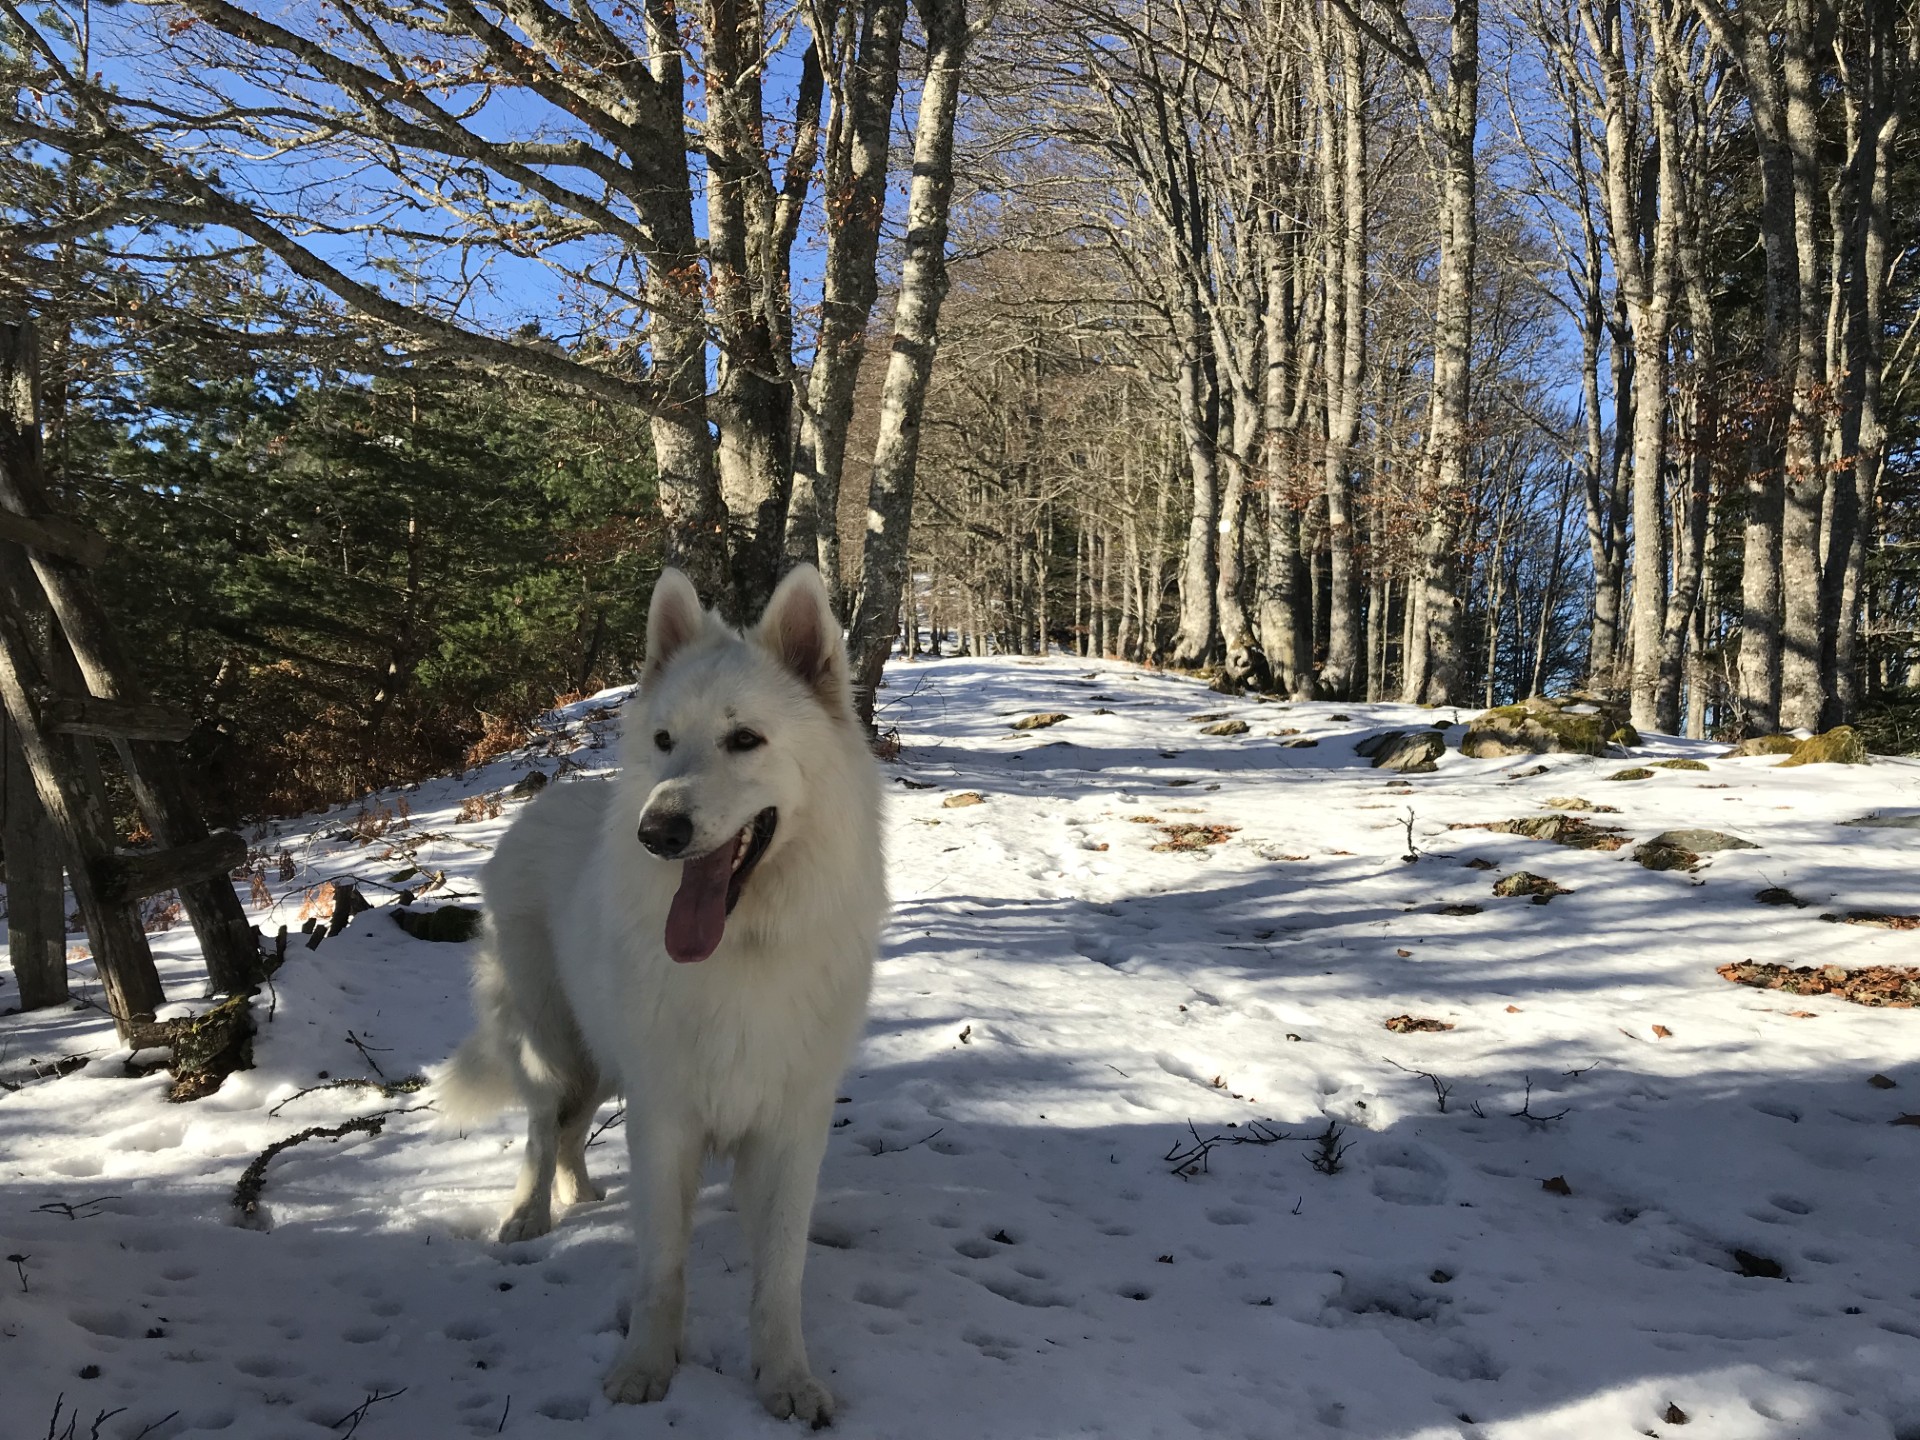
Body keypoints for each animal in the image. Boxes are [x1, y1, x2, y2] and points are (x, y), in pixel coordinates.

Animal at [441, 568, 883, 1428]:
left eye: (745, 740)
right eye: (665, 741)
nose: (659, 832)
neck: (742, 949)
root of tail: (544, 802)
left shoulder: (789, 1128)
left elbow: (779, 1277)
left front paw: (786, 1380)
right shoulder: (665, 1115)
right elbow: (661, 1268)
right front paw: (645, 1368)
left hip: (602, 1063)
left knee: (571, 1133)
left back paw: (580, 1190)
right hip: (557, 1050)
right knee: (542, 1131)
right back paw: (530, 1214)